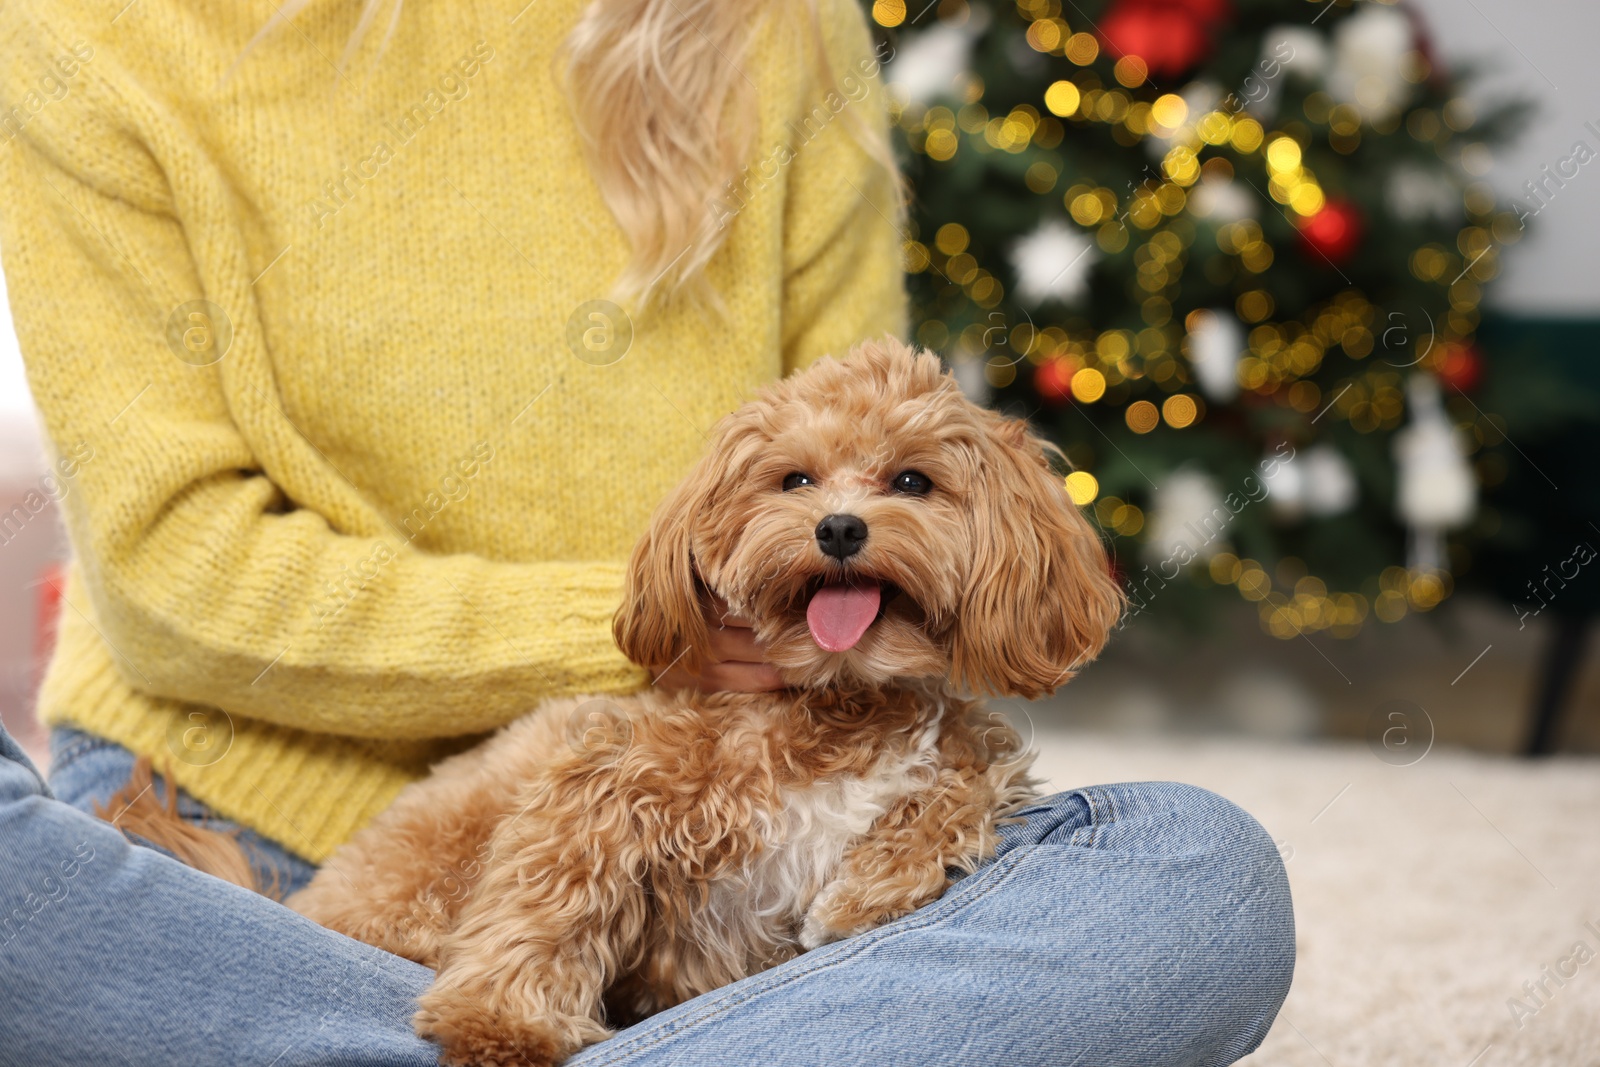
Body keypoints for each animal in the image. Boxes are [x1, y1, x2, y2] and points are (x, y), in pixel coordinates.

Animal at [281, 340, 1120, 1067]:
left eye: (913, 481)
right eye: (795, 480)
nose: (839, 527)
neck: (836, 699)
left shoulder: (971, 754)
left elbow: (962, 787)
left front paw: (861, 897)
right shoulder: (603, 782)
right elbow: (548, 902)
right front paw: (498, 1022)